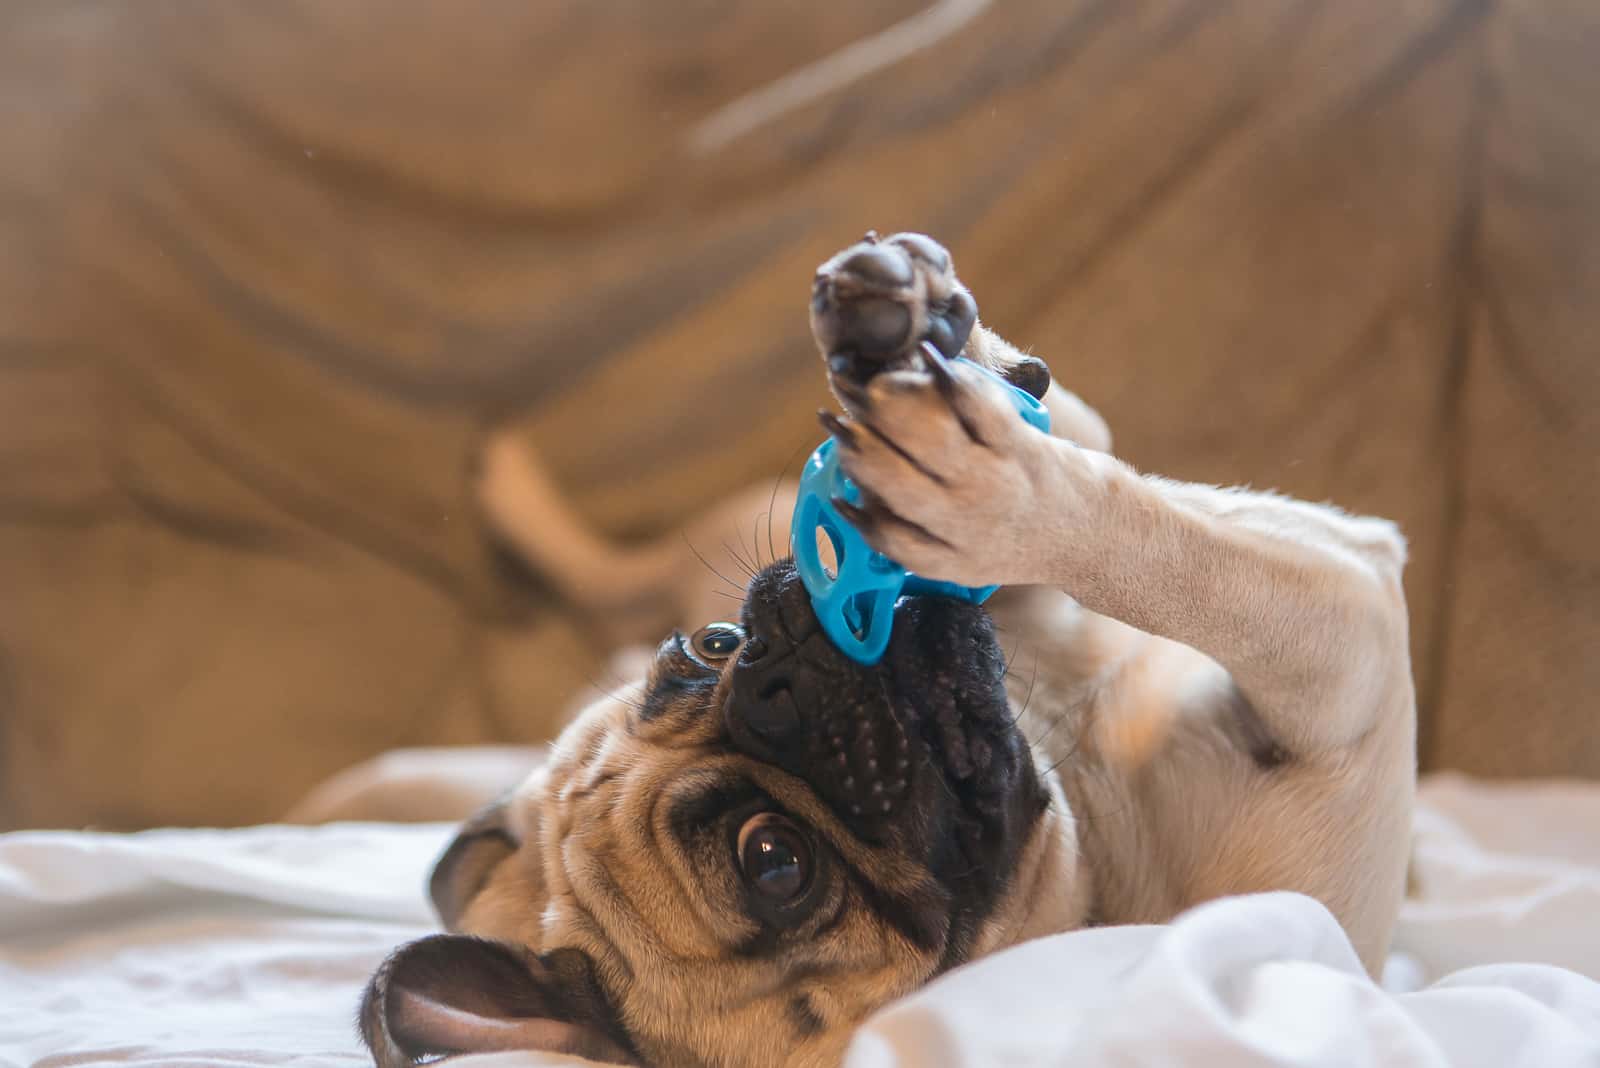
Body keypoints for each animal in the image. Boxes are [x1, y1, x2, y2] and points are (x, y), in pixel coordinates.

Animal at [360, 231, 1414, 1068]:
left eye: (710, 648)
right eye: (774, 861)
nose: (777, 663)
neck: (1083, 798)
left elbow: (1079, 433)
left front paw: (934, 329)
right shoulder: (1343, 641)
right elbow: (1170, 551)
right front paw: (1003, 493)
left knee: (625, 568)